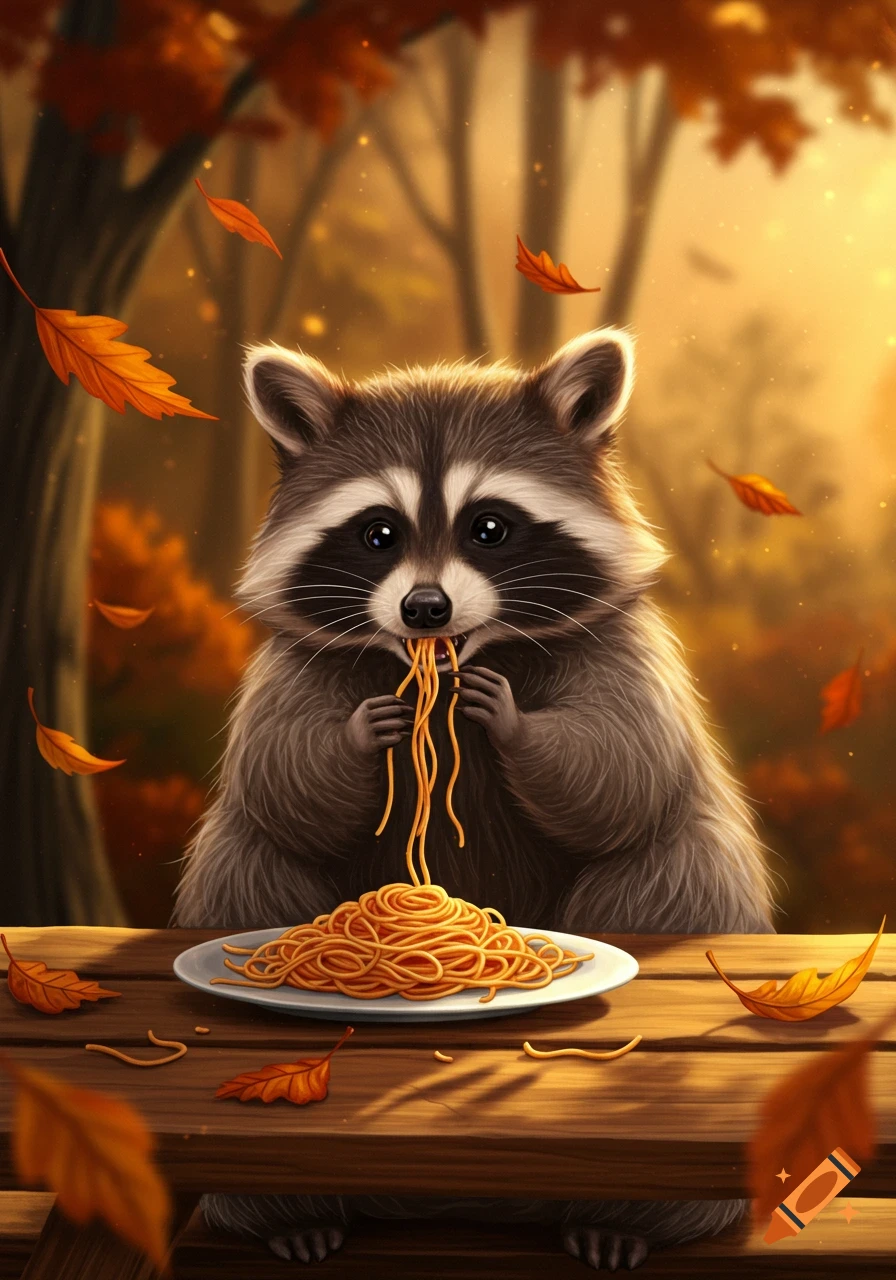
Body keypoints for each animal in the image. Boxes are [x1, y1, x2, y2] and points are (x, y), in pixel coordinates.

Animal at [175, 329, 775, 1271]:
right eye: (377, 533)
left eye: (489, 528)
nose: (426, 609)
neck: (450, 671)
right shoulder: (292, 666)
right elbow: (282, 778)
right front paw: (359, 735)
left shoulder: (625, 650)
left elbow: (625, 771)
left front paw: (520, 725)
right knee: (253, 860)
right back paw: (288, 1214)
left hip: (679, 881)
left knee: (669, 865)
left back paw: (631, 1218)